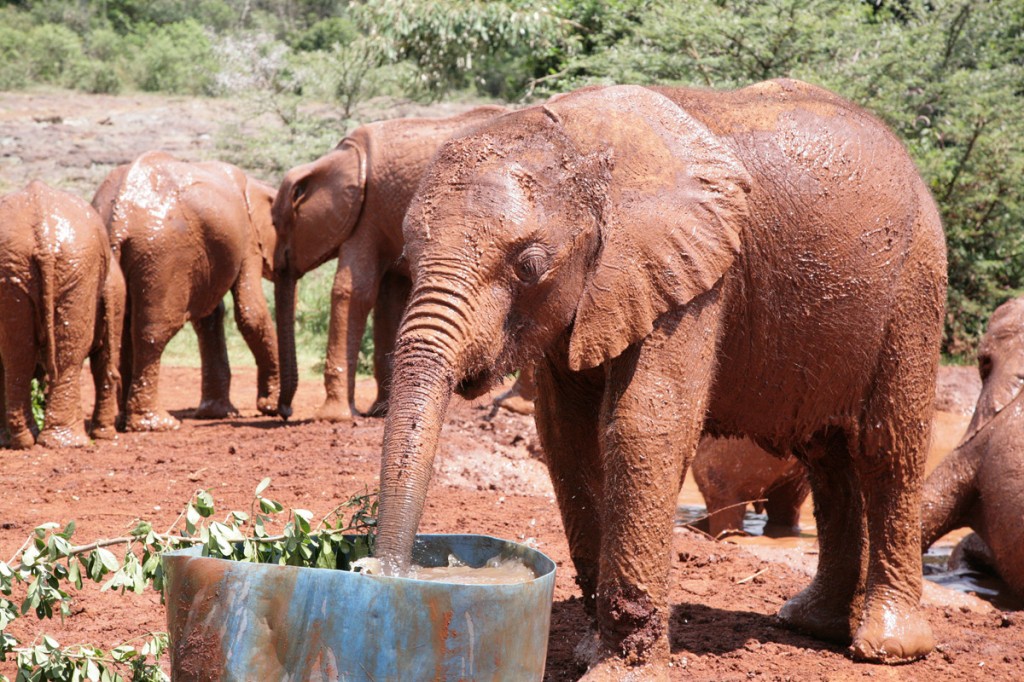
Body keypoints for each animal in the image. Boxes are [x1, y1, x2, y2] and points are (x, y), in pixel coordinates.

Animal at [1, 180, 123, 446]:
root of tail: (44, 235)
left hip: (65, 266)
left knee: (20, 354)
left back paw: (31, 440)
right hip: (55, 266)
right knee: (57, 355)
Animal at [93, 152, 280, 430]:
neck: (258, 185)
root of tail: (119, 219)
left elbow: (209, 317)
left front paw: (218, 414)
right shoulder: (247, 239)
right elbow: (251, 312)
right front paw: (271, 407)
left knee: (126, 329)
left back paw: (125, 421)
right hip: (163, 255)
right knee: (153, 331)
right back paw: (157, 424)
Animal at [272, 104, 507, 419]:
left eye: (277, 223)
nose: (282, 410)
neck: (336, 158)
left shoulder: (366, 213)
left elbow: (352, 291)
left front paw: (334, 417)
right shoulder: (382, 216)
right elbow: (388, 302)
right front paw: (378, 412)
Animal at [372, 80, 946, 675]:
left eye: (529, 265)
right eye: (409, 255)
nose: (388, 577)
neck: (580, 143)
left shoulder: (695, 276)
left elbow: (642, 426)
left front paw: (617, 671)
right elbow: (566, 438)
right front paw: (590, 651)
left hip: (915, 282)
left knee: (886, 448)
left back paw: (887, 649)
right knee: (827, 458)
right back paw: (809, 623)